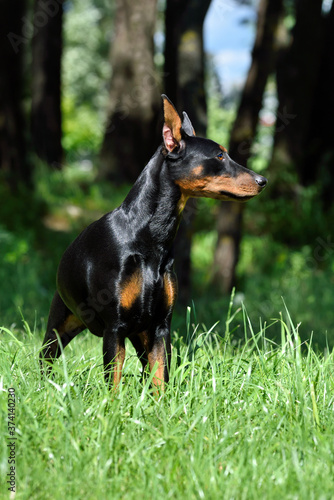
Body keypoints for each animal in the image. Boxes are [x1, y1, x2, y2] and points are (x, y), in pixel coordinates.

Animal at [40, 94, 268, 390]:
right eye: (219, 155)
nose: (263, 180)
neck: (150, 237)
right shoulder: (115, 328)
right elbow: (113, 382)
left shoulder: (160, 326)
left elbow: (161, 379)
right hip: (61, 323)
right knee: (45, 357)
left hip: (140, 335)